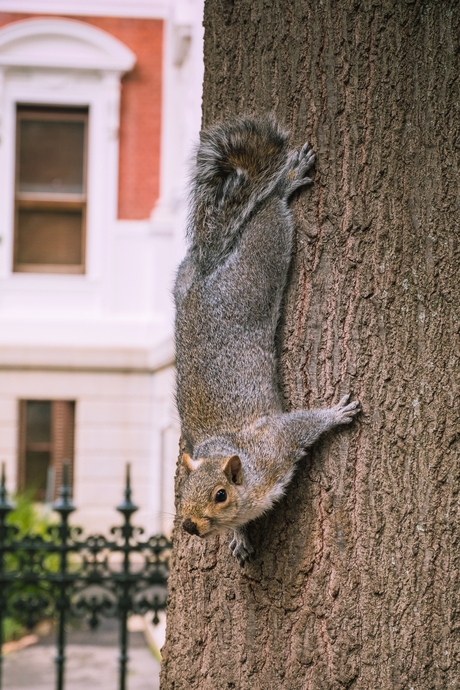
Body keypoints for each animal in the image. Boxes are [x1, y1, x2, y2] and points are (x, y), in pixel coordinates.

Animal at [172, 114, 360, 564]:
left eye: (220, 495)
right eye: (180, 495)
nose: (189, 526)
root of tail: (209, 270)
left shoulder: (274, 443)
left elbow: (303, 425)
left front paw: (335, 413)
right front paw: (239, 539)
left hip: (261, 262)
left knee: (270, 212)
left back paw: (287, 181)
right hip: (188, 277)